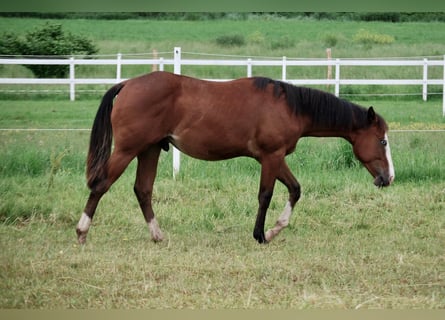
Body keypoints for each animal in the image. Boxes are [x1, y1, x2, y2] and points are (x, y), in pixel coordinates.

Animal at [76, 71, 396, 244]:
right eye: (382, 140)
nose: (388, 177)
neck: (288, 106)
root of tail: (128, 84)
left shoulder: (276, 158)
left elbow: (294, 189)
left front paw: (275, 229)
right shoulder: (271, 157)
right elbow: (265, 195)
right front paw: (261, 235)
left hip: (150, 149)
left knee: (143, 190)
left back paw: (157, 235)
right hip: (128, 150)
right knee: (101, 185)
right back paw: (81, 232)